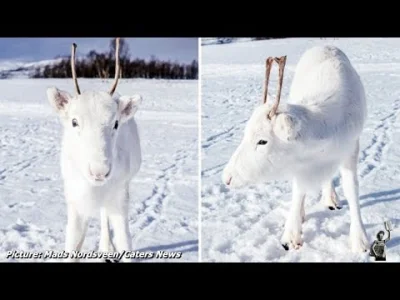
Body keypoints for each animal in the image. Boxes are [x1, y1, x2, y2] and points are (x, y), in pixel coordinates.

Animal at [47, 38, 142, 262]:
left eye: (116, 123)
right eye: (74, 122)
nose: (99, 171)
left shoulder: (119, 197)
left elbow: (125, 242)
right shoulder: (75, 201)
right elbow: (72, 246)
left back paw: (106, 248)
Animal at [222, 45, 368, 252]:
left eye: (262, 141)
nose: (227, 178)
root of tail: (324, 45)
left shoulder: (351, 148)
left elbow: (352, 189)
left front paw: (360, 241)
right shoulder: (301, 164)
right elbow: (299, 190)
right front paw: (291, 235)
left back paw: (331, 199)